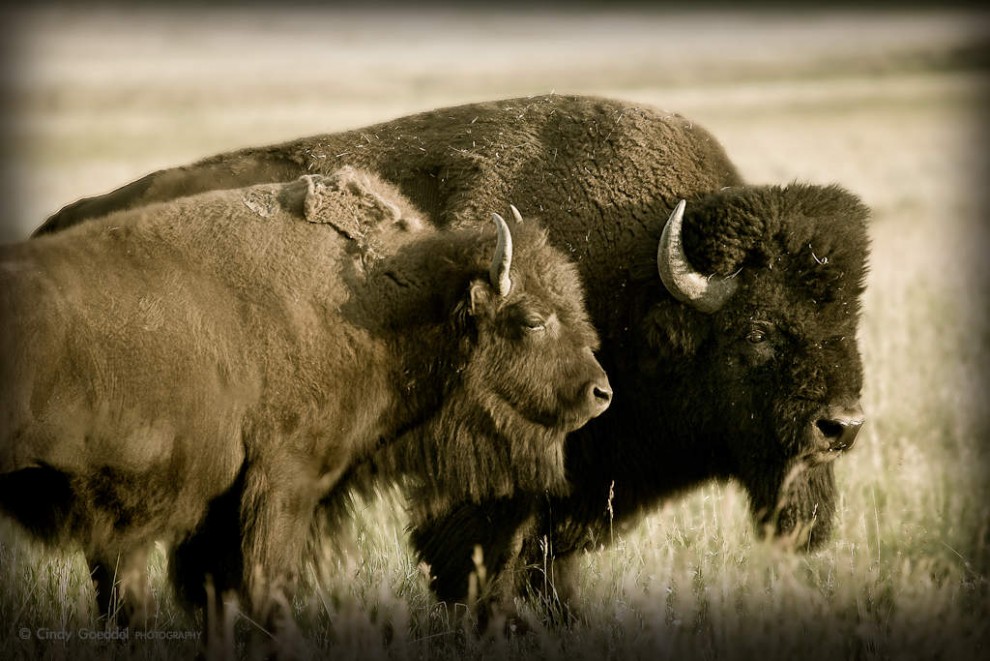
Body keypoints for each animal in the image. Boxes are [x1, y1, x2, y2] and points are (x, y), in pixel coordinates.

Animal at [1, 166, 612, 648]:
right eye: (531, 319)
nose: (600, 393)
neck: (380, 304)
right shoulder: (284, 482)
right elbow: (269, 586)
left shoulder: (221, 510)